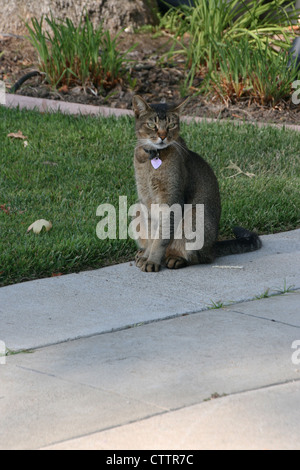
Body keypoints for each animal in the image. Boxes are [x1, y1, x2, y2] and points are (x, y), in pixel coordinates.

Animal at [132, 94, 262, 272]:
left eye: (171, 125)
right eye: (152, 124)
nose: (163, 136)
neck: (151, 160)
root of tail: (213, 246)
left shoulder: (171, 199)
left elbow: (161, 238)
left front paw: (152, 261)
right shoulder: (145, 200)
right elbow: (152, 235)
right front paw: (147, 256)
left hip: (194, 216)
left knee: (201, 257)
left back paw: (175, 259)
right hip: (137, 210)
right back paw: (142, 253)